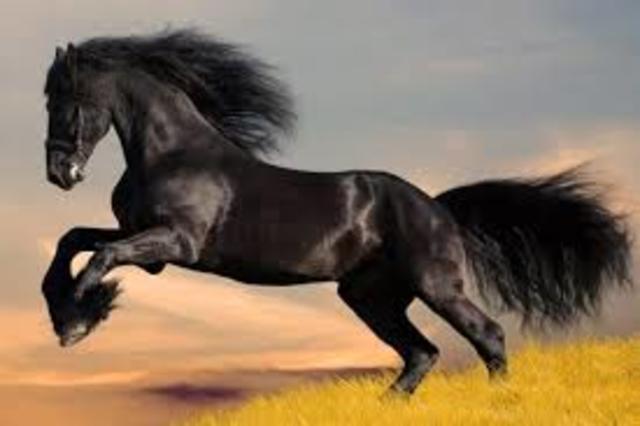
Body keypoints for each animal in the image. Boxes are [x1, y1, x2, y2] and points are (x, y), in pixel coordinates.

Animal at [41, 30, 632, 396]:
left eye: (65, 99)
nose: (58, 173)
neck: (171, 152)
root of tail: (437, 207)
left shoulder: (174, 243)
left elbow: (100, 256)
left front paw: (79, 320)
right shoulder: (147, 243)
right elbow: (73, 240)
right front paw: (69, 312)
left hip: (435, 285)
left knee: (486, 335)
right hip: (370, 296)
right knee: (421, 353)